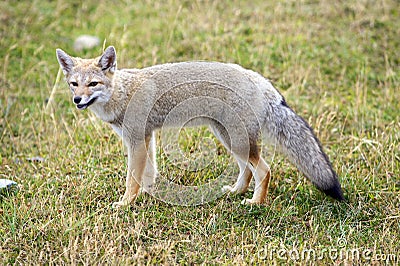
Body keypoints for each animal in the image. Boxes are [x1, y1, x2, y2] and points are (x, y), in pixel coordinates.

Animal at [56, 46, 344, 208]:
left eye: (92, 84)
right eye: (74, 84)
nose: (77, 100)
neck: (123, 92)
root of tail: (261, 80)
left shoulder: (137, 140)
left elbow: (132, 179)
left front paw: (125, 204)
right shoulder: (146, 138)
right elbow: (148, 173)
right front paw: (149, 196)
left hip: (237, 141)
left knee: (264, 170)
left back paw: (255, 203)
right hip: (228, 138)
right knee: (247, 170)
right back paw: (236, 192)